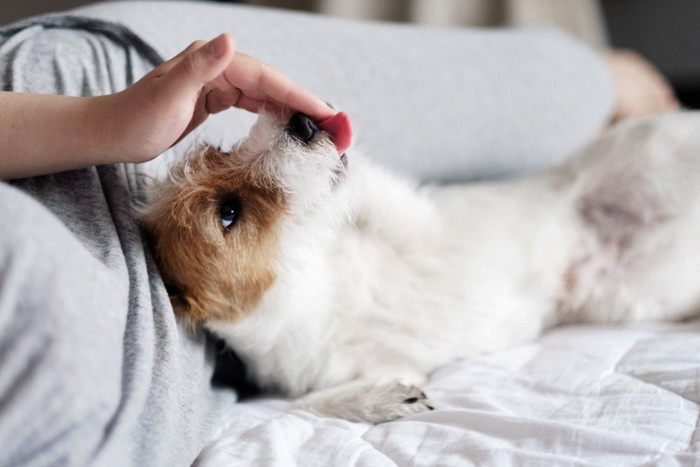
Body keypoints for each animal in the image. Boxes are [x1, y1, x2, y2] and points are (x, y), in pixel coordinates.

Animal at [141, 110, 700, 424]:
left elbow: (372, 190)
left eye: (225, 150)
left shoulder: (411, 218)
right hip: (638, 291)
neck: (314, 284)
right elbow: (303, 405)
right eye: (228, 212)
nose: (302, 121)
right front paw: (380, 401)